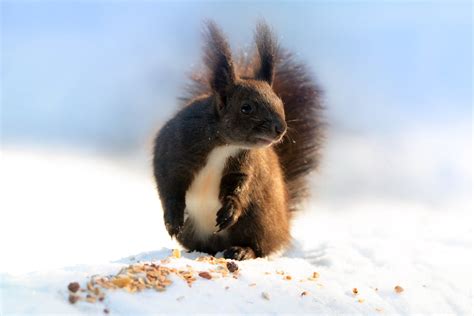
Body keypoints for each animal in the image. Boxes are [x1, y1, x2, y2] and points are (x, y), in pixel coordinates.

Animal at [154, 21, 324, 260]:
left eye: (280, 102)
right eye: (246, 108)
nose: (280, 129)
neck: (225, 145)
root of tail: (283, 225)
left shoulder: (244, 164)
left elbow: (240, 187)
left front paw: (230, 211)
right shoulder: (174, 150)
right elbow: (169, 185)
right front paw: (173, 219)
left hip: (258, 219)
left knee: (260, 247)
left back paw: (242, 250)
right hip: (197, 230)